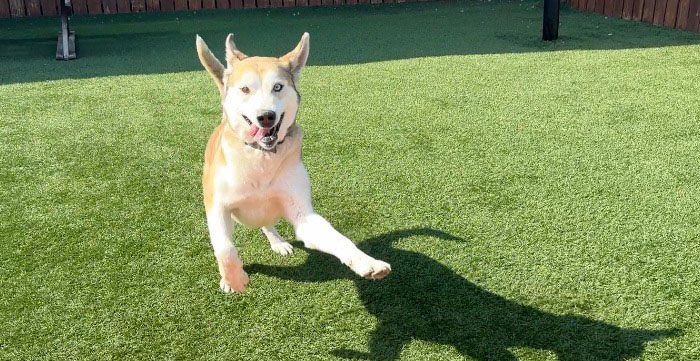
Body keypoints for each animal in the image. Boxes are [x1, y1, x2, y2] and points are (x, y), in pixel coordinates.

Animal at [197, 33, 392, 292]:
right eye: (245, 89)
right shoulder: (217, 206)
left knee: (267, 223)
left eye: (278, 87)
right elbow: (224, 248)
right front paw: (234, 279)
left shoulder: (302, 213)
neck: (261, 157)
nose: (266, 117)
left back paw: (277, 241)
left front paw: (366, 262)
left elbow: (338, 239)